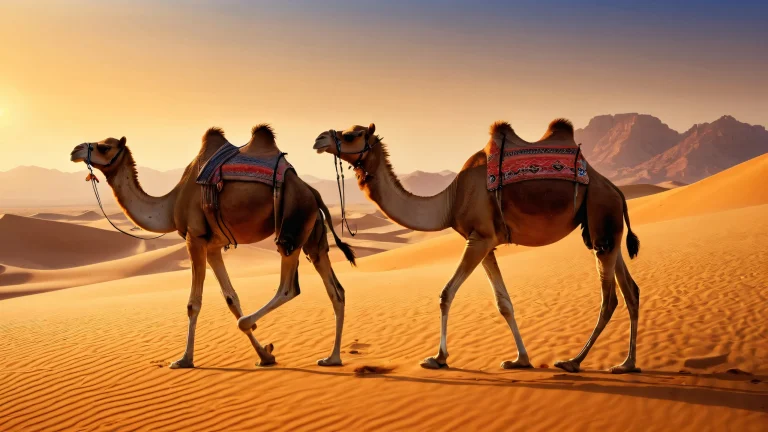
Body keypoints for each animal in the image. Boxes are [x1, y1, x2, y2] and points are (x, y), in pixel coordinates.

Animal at [70, 125, 355, 368]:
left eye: (104, 147)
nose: (75, 150)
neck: (171, 203)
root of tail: (312, 192)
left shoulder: (194, 238)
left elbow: (193, 304)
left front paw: (184, 359)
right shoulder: (214, 245)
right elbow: (231, 298)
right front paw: (265, 356)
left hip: (291, 228)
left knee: (288, 287)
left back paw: (249, 323)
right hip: (313, 236)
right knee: (337, 291)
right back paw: (332, 358)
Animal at [313, 120, 641, 374]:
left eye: (351, 135)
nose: (319, 138)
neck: (450, 200)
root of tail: (617, 191)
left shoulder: (479, 238)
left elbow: (446, 294)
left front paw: (438, 358)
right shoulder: (485, 242)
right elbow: (504, 303)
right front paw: (520, 360)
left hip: (601, 216)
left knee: (610, 298)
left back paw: (574, 361)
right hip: (606, 230)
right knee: (631, 291)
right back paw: (626, 364)